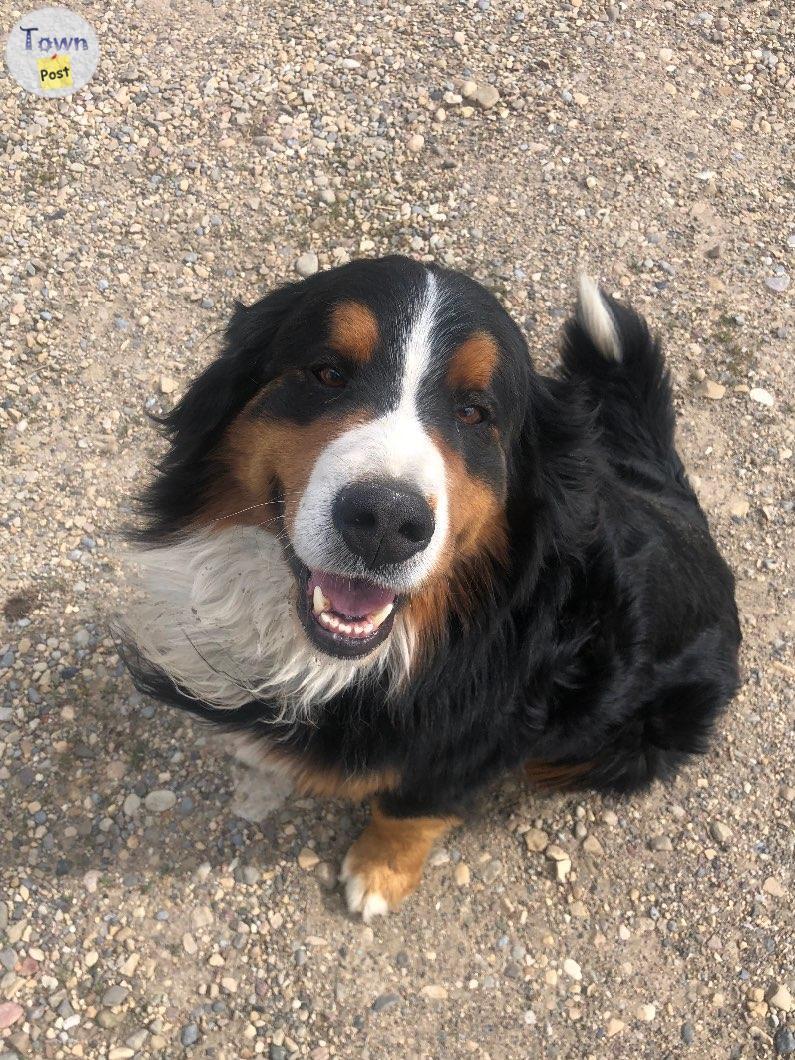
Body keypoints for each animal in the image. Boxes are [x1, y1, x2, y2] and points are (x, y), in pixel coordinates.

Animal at [121, 254, 746, 920]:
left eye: (474, 411)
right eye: (328, 373)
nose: (386, 522)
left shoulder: (472, 746)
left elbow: (410, 808)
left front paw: (379, 872)